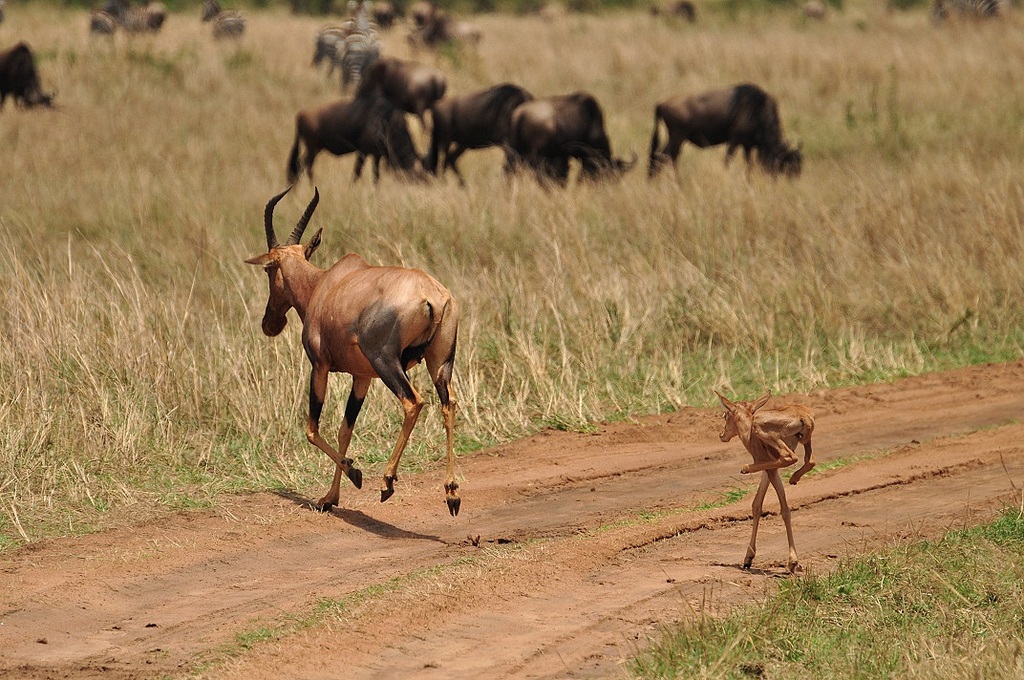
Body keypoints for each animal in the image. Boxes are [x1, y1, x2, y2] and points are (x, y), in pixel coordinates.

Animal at [245, 187, 461, 516]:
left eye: (270, 269)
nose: (270, 323)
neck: (325, 283)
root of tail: (433, 297)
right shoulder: (362, 377)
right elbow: (345, 430)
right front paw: (330, 497)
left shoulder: (320, 366)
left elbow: (312, 429)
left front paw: (354, 474)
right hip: (439, 363)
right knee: (448, 405)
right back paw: (451, 493)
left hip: (386, 362)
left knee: (413, 402)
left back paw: (387, 482)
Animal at [716, 390, 815, 573]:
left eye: (725, 414)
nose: (722, 435)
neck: (748, 431)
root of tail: (802, 415)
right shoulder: (768, 471)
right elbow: (758, 505)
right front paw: (748, 558)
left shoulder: (770, 469)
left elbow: (782, 508)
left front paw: (792, 562)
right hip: (807, 441)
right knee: (810, 460)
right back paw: (794, 478)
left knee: (790, 457)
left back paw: (747, 467)